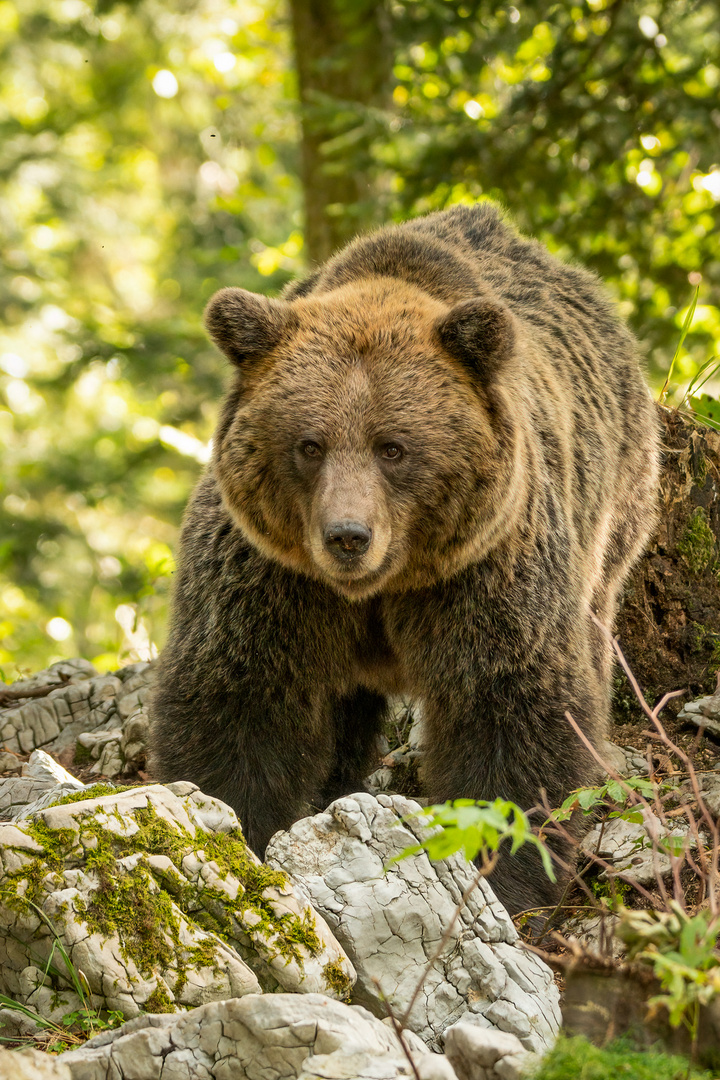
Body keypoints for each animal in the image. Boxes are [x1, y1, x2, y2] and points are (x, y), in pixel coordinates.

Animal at [148, 203, 660, 911]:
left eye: (393, 446)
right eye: (309, 444)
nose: (347, 535)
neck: (380, 585)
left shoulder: (485, 568)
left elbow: (506, 707)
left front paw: (508, 880)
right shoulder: (272, 575)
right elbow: (242, 696)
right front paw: (237, 831)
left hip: (614, 505)